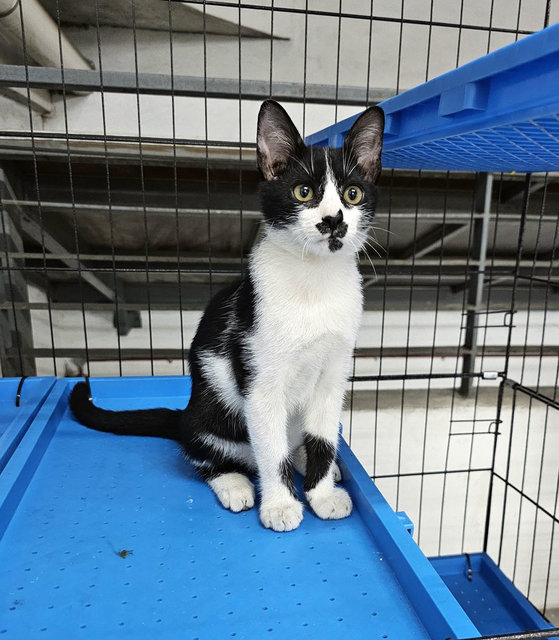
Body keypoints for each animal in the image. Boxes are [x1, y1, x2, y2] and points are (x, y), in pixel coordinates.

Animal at [70, 99, 384, 528]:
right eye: (303, 191)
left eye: (352, 194)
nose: (333, 220)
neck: (313, 283)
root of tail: (185, 415)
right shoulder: (260, 380)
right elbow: (271, 451)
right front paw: (281, 505)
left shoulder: (333, 374)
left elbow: (323, 436)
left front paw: (320, 494)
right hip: (209, 414)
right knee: (205, 455)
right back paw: (234, 483)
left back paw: (310, 462)